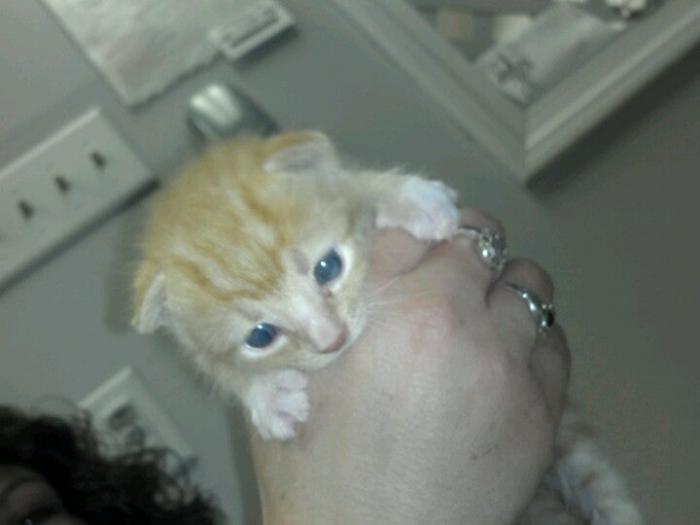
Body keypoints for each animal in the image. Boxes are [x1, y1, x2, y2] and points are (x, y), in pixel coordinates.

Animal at [131, 131, 641, 524]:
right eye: (260, 336)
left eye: (328, 267)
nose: (332, 339)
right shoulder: (198, 348)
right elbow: (217, 367)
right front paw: (266, 394)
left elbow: (355, 185)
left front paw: (408, 197)